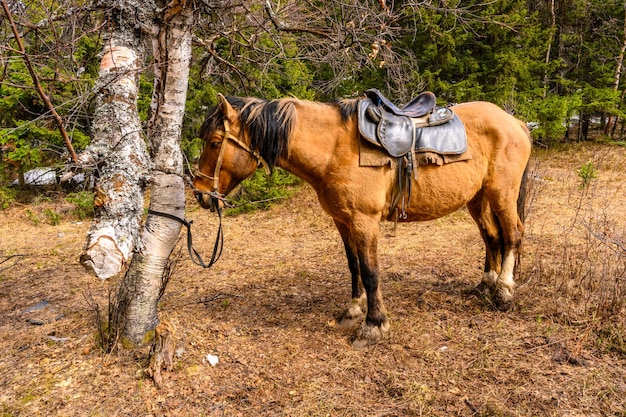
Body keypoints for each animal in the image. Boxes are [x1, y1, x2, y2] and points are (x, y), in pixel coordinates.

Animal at [193, 94, 528, 348]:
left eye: (214, 142)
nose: (199, 193)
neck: (334, 149)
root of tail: (516, 122)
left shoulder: (364, 221)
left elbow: (370, 271)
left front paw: (374, 325)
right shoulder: (343, 221)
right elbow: (353, 265)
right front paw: (353, 310)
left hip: (502, 193)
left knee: (513, 234)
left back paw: (503, 293)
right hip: (477, 198)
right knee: (491, 236)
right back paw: (485, 286)